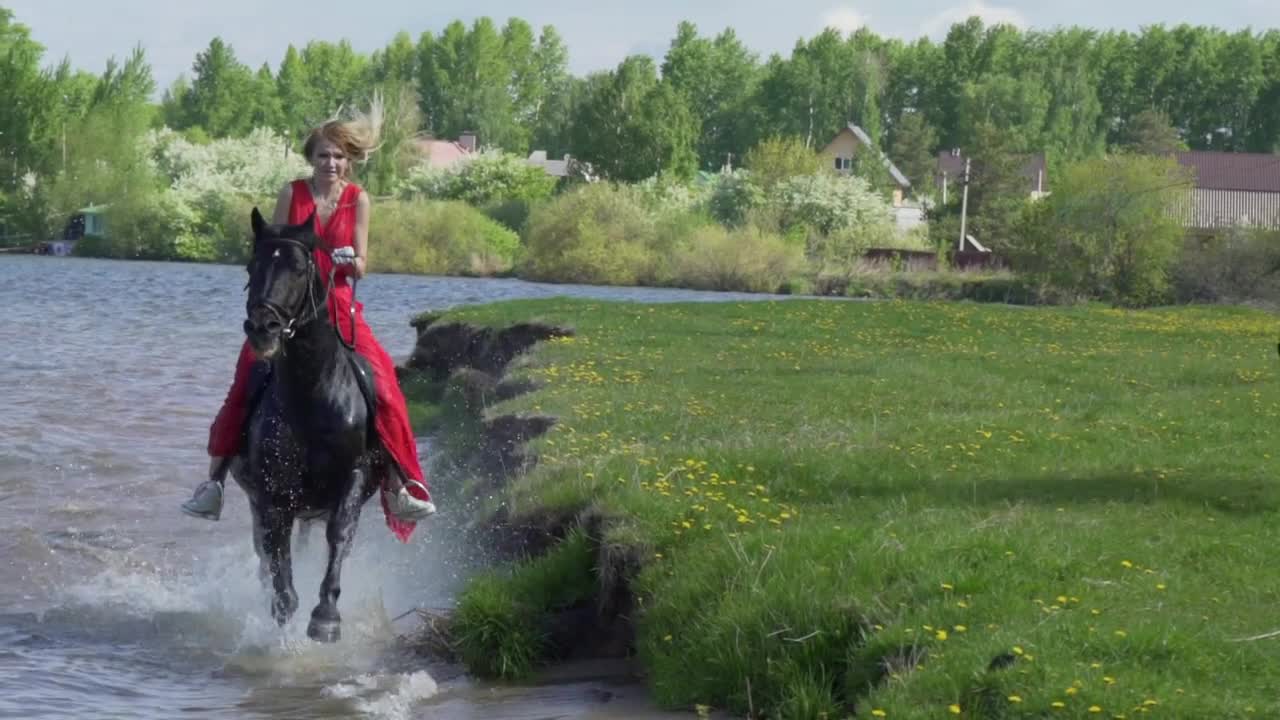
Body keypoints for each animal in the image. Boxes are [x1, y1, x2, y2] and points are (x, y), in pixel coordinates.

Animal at [232, 206, 378, 638]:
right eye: (252, 265)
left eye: (298, 269)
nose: (262, 328)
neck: (312, 395)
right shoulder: (272, 492)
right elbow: (277, 557)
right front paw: (284, 609)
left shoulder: (355, 473)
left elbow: (340, 533)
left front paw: (326, 616)